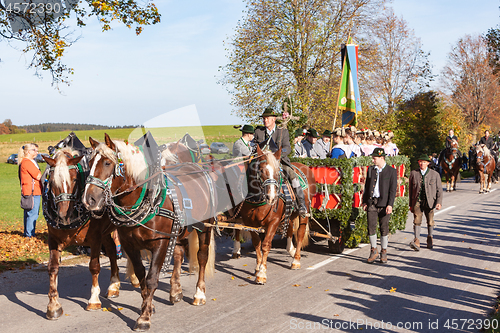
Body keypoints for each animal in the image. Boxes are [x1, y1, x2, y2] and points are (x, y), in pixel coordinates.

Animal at [41, 148, 119, 320]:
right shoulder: (53, 239)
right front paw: (53, 305)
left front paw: (94, 300)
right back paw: (114, 285)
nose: (63, 215)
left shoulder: (95, 238)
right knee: (111, 250)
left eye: (75, 179)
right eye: (52, 181)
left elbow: (94, 267)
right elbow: (53, 268)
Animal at [82, 133, 215, 330]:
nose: (88, 199)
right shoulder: (130, 245)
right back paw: (175, 290)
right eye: (90, 162)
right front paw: (148, 306)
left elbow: (152, 278)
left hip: (205, 227)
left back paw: (199, 294)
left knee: (202, 256)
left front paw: (144, 317)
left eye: (107, 163)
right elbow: (141, 275)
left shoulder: (159, 243)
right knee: (178, 254)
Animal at [235, 145, 316, 282]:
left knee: (300, 233)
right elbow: (256, 243)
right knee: (289, 227)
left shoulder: (273, 222)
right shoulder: (249, 222)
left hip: (304, 212)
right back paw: (291, 250)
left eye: (278, 172)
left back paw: (296, 260)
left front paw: (262, 273)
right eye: (261, 170)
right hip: (290, 213)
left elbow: (266, 245)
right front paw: (258, 267)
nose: (271, 197)